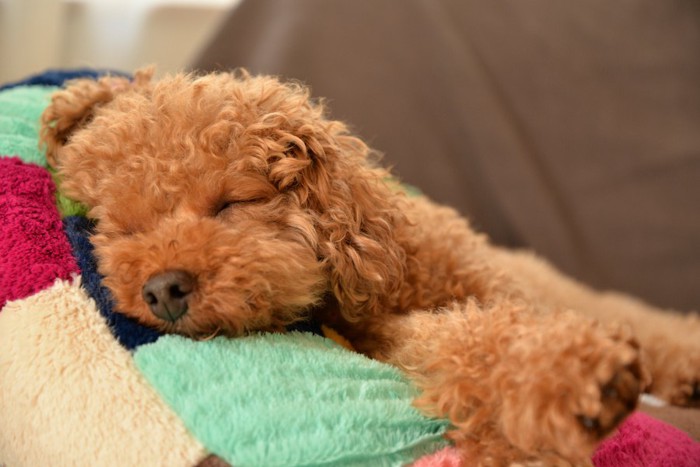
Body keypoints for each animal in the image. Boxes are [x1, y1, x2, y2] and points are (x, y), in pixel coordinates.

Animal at [39, 68, 700, 464]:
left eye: (230, 203)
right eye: (124, 229)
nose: (162, 289)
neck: (392, 269)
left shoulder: (499, 289)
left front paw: (575, 380)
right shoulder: (393, 338)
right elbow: (462, 345)